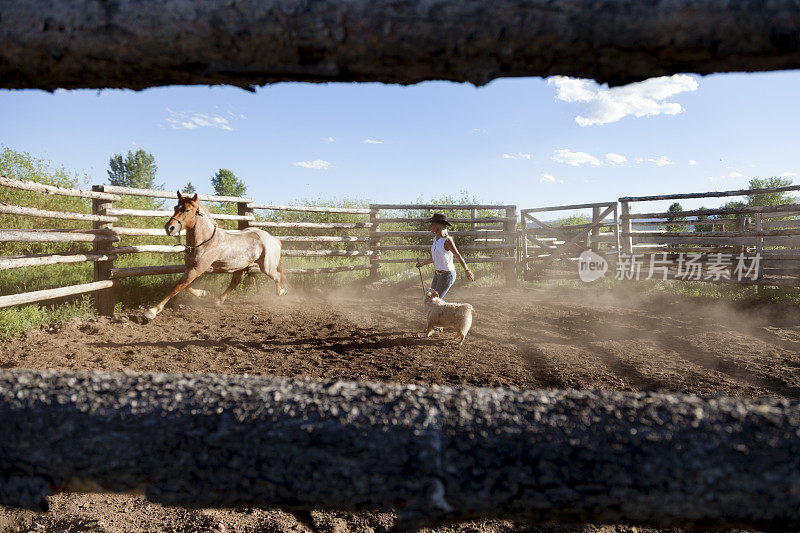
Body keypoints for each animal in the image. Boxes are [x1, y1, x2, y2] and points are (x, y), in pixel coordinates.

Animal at [144, 193, 288, 322]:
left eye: (187, 210)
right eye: (175, 207)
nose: (169, 228)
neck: (205, 242)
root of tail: (273, 239)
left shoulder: (196, 269)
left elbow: (177, 287)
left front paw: (152, 311)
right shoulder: (191, 268)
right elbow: (185, 286)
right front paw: (203, 293)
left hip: (266, 267)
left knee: (276, 276)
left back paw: (282, 292)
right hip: (240, 266)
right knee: (235, 282)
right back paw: (218, 301)